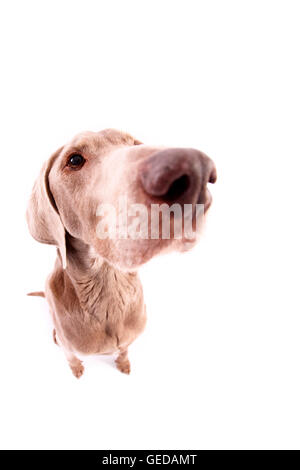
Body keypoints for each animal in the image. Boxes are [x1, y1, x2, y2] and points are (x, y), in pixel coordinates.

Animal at [26, 129, 216, 378]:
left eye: (134, 144)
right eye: (74, 160)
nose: (197, 170)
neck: (109, 289)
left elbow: (124, 350)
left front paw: (124, 364)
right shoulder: (69, 347)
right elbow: (72, 358)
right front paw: (77, 369)